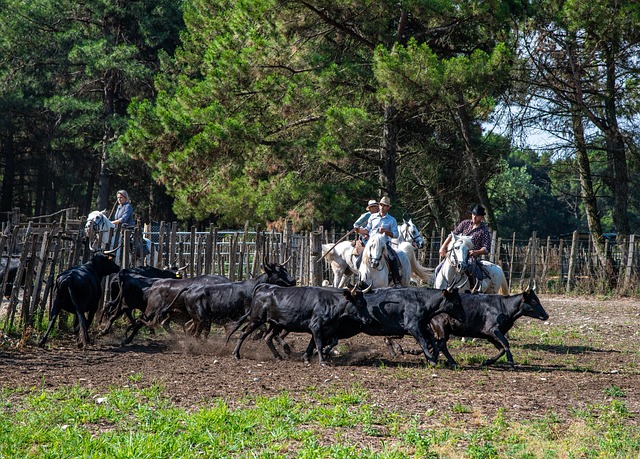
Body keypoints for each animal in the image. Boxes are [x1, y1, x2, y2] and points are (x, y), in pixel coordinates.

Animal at [230, 284, 370, 366]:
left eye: (365, 302)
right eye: (360, 303)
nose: (368, 320)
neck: (331, 304)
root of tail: (264, 289)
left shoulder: (327, 329)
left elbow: (320, 343)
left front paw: (307, 357)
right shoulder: (316, 327)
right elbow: (318, 344)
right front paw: (322, 361)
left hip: (276, 324)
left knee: (267, 337)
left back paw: (278, 356)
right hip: (256, 319)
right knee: (243, 333)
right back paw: (236, 354)